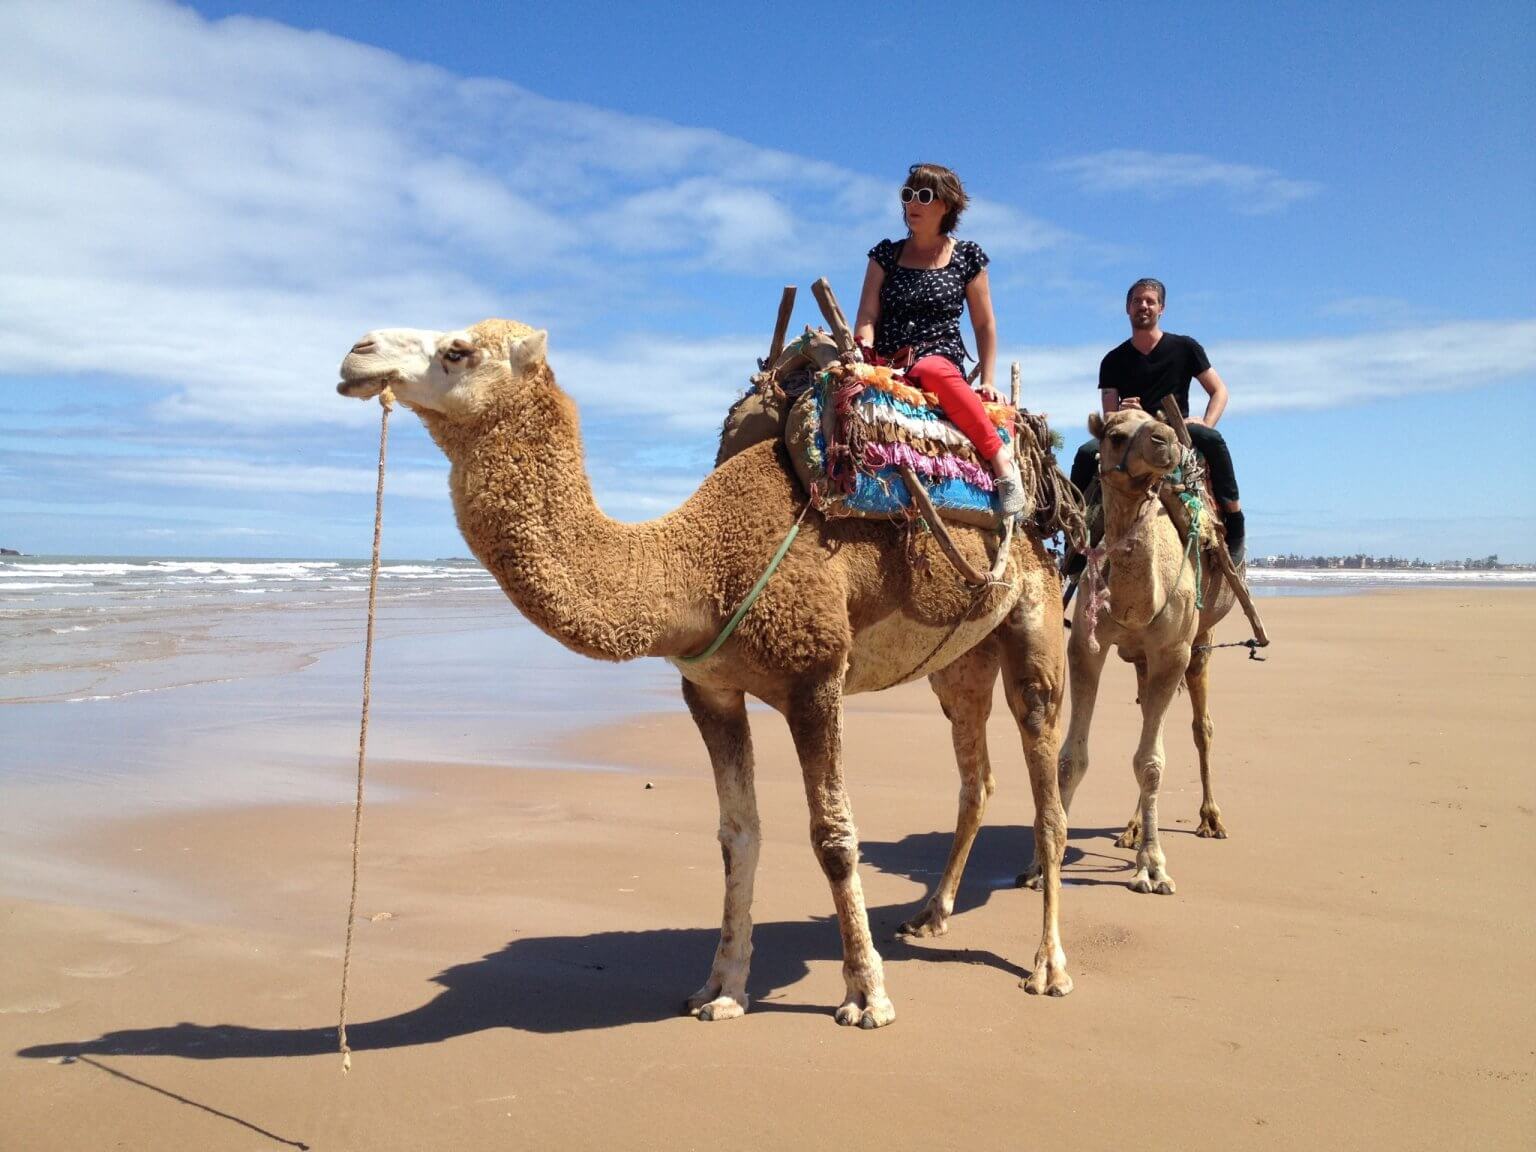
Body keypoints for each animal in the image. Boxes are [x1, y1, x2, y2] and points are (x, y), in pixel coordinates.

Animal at [339, 317, 1081, 1026]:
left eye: (458, 351)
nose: (356, 353)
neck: (700, 565)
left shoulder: (816, 676)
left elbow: (834, 836)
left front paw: (867, 995)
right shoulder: (710, 689)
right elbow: (737, 835)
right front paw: (721, 989)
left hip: (1036, 620)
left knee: (1046, 791)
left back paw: (1048, 967)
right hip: (958, 663)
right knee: (976, 776)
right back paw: (930, 915)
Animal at [1050, 411, 1241, 897]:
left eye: (1156, 425)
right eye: (1115, 436)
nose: (1166, 439)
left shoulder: (1173, 651)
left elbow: (1152, 763)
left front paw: (1152, 868)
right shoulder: (1086, 647)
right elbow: (1072, 757)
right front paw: (1044, 862)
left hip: (1201, 642)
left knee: (1200, 727)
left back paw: (1211, 820)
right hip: (1141, 660)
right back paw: (1132, 829)